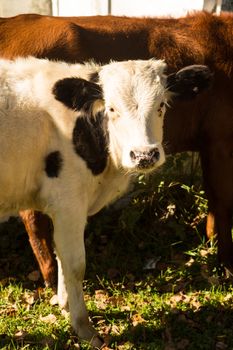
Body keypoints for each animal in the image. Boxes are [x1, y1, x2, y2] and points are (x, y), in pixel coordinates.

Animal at [0, 12, 232, 286]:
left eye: (163, 104)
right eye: (110, 108)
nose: (145, 154)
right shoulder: (221, 140)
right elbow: (222, 201)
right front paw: (226, 265)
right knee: (33, 219)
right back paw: (50, 276)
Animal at [0, 58, 211, 348]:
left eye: (161, 105)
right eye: (111, 108)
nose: (144, 155)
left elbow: (61, 255)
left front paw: (66, 305)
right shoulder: (68, 201)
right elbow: (75, 264)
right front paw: (84, 328)